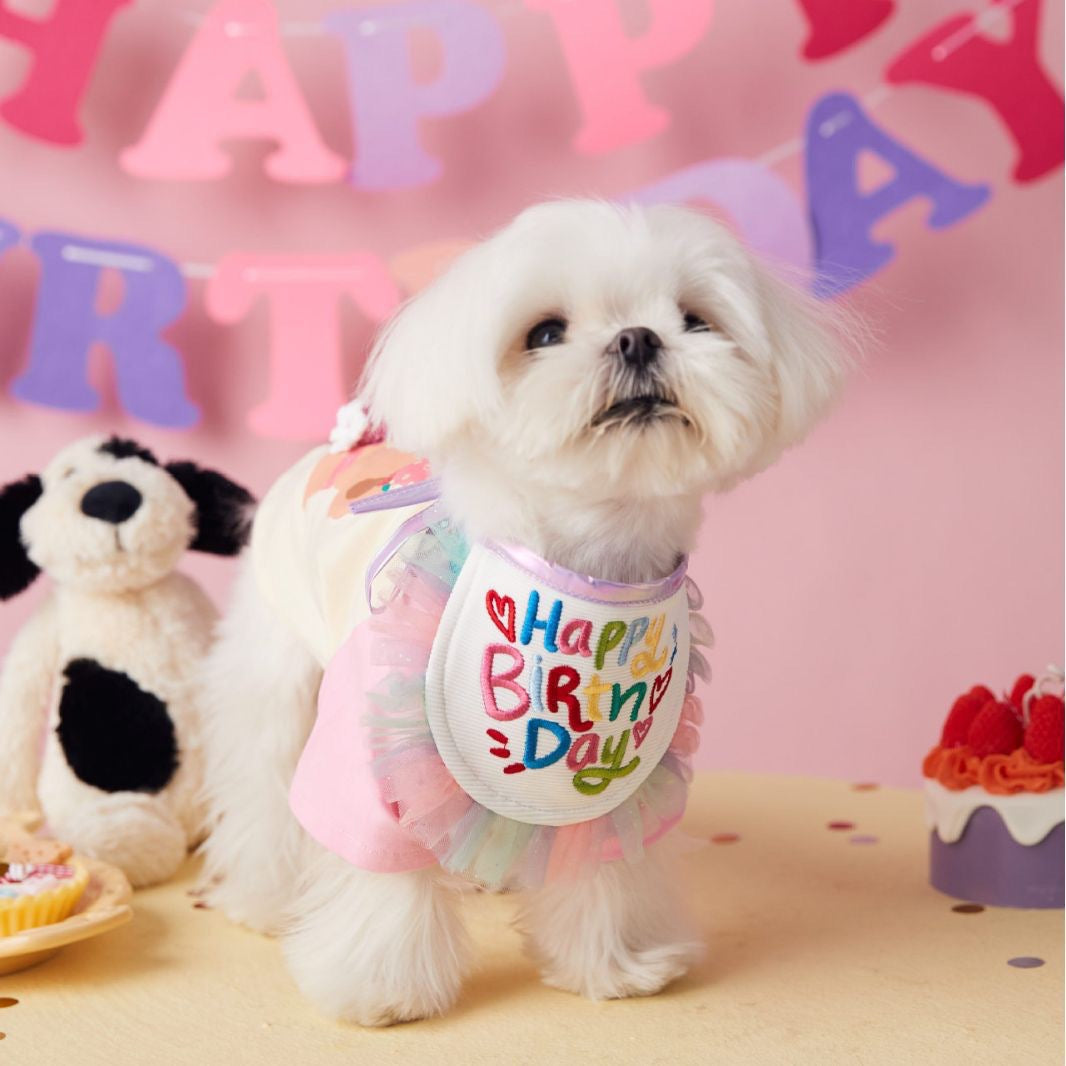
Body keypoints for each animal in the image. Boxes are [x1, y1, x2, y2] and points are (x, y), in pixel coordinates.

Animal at [200, 200, 848, 1023]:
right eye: (543, 334)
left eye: (694, 319)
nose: (638, 337)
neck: (586, 570)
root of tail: (347, 445)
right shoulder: (376, 749)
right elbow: (381, 866)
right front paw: (380, 986)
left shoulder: (617, 768)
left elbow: (606, 862)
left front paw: (616, 961)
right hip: (278, 676)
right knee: (263, 785)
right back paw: (263, 897)